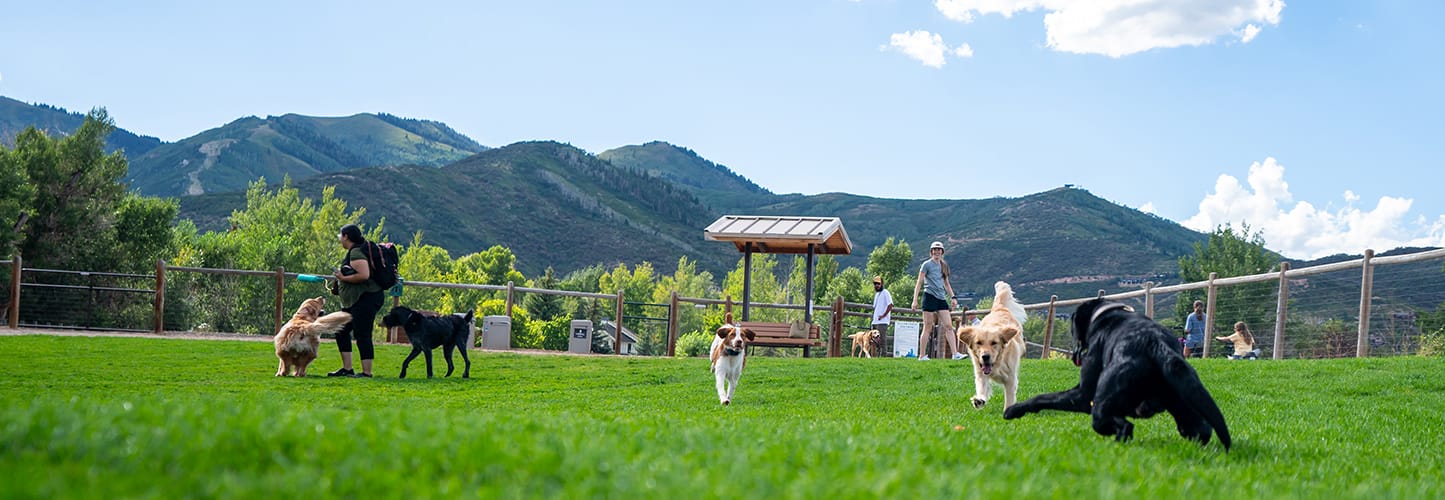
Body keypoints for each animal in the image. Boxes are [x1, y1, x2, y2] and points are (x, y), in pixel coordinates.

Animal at [959, 281, 1028, 410]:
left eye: (994, 343)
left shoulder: (1011, 379)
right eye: (978, 342)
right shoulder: (980, 371)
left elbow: (1009, 399)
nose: (985, 356)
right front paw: (979, 400)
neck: (997, 364)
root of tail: (999, 308)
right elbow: (982, 386)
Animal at [1005, 296, 1231, 447]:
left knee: (1123, 427)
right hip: (1186, 403)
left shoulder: (1082, 395)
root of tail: (1156, 344)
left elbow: (1042, 397)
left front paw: (1014, 410)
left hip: (1101, 407)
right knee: (1202, 429)